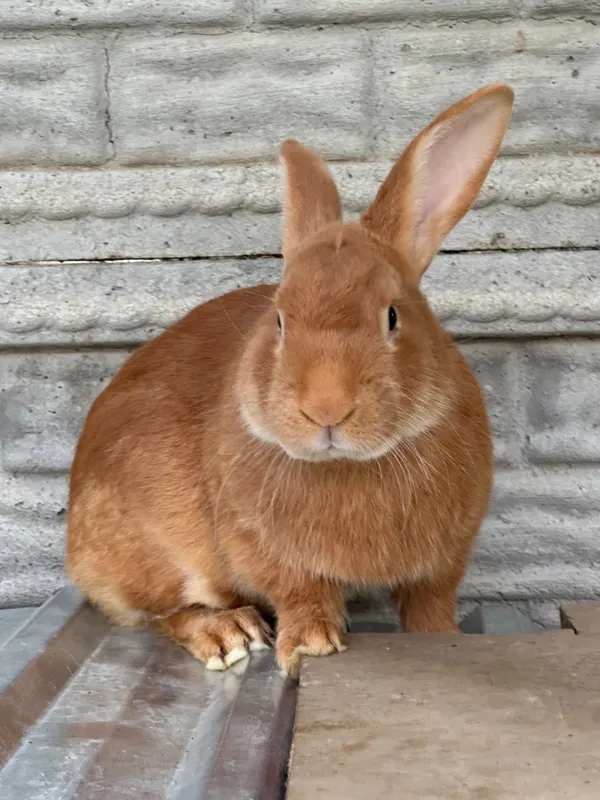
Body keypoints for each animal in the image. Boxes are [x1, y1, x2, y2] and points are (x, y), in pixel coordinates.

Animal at [67, 84, 513, 678]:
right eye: (279, 321)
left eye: (392, 316)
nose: (326, 407)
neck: (350, 464)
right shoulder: (263, 549)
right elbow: (301, 593)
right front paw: (310, 646)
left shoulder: (445, 560)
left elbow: (430, 605)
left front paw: (446, 638)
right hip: (155, 550)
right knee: (165, 613)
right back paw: (228, 633)